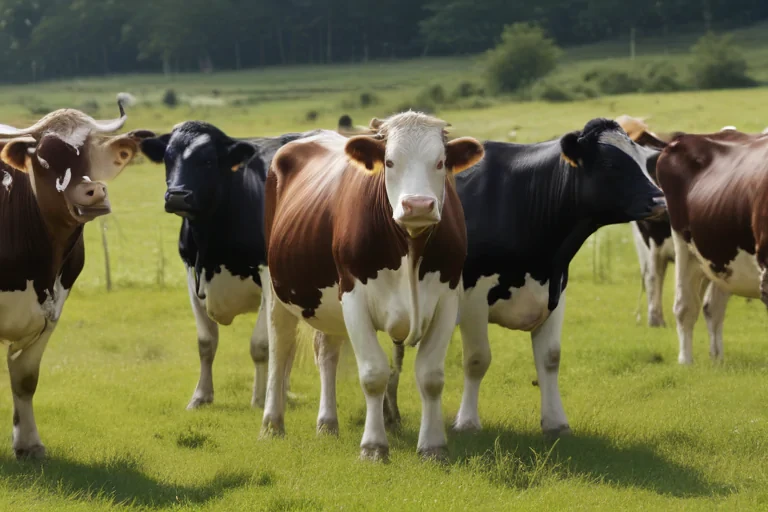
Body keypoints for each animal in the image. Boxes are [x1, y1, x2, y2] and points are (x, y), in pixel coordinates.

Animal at [0, 103, 153, 459]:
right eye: (43, 158)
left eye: (90, 154)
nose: (92, 191)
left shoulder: (52, 311)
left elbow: (26, 379)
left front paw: (29, 444)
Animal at [138, 122, 319, 410]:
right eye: (168, 158)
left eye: (208, 160)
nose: (177, 196)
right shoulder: (192, 273)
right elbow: (206, 343)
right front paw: (201, 396)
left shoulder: (267, 277)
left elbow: (260, 345)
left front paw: (259, 398)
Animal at [261, 111, 484, 461]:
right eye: (390, 162)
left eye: (440, 163)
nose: (418, 205)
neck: (409, 246)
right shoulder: (353, 295)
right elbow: (374, 374)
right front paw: (374, 446)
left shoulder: (448, 297)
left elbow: (431, 376)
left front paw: (433, 446)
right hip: (277, 287)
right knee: (280, 348)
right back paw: (272, 423)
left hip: (329, 303)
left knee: (327, 353)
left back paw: (327, 422)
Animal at [377, 118, 667, 438]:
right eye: (610, 164)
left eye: (642, 160)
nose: (659, 200)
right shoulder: (472, 296)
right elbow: (477, 359)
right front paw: (467, 422)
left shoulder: (556, 288)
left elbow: (550, 358)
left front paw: (556, 422)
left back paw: (392, 416)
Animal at [655, 128, 768, 364]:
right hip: (684, 246)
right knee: (685, 306)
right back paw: (685, 362)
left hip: (722, 258)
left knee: (712, 308)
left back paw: (717, 361)